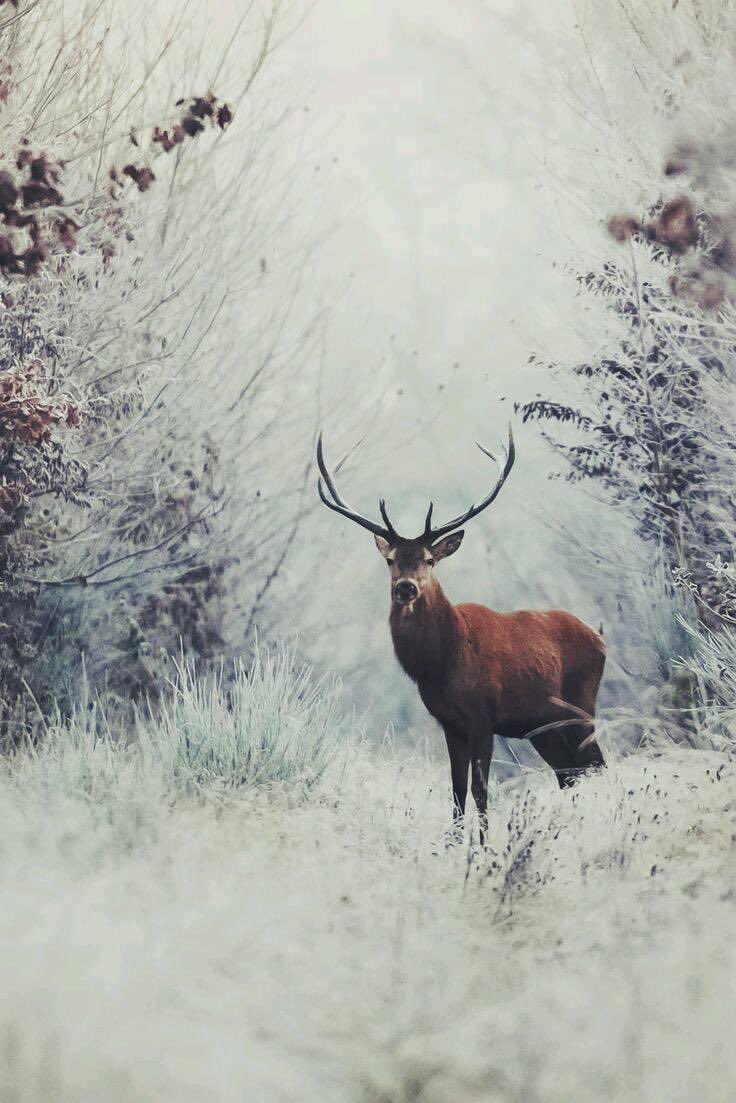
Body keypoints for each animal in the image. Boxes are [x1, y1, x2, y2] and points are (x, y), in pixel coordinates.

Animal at [316, 428, 606, 842]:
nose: (406, 588)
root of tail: (600, 638)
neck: (440, 665)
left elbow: (480, 789)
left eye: (429, 559)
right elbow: (455, 789)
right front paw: (452, 844)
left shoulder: (483, 715)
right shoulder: (449, 723)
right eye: (390, 560)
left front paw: (483, 847)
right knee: (570, 774)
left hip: (582, 706)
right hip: (543, 727)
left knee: (596, 765)